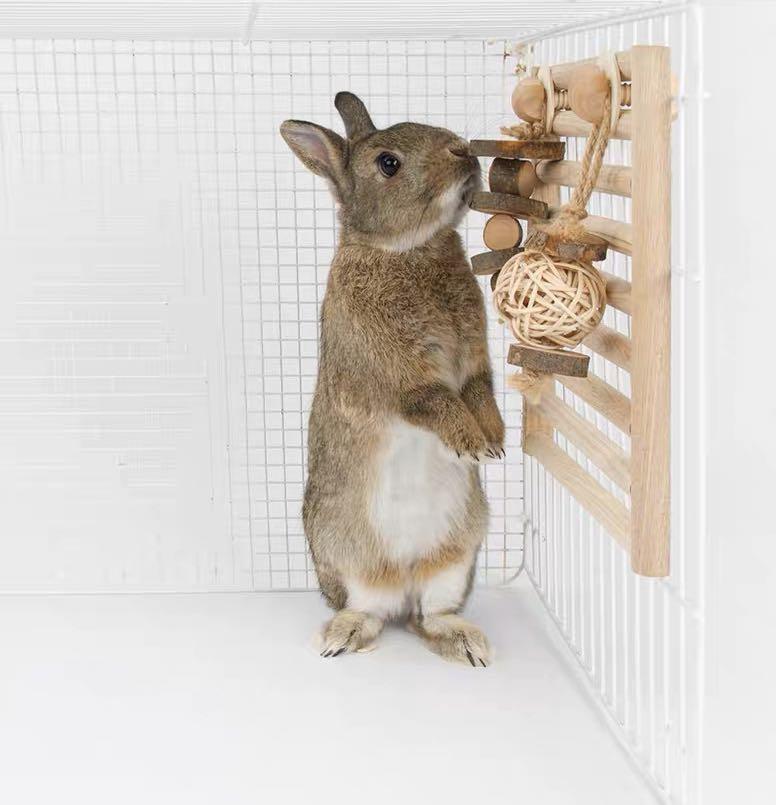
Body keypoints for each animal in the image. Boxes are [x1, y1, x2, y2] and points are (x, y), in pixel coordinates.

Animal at [282, 91, 506, 664]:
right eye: (388, 164)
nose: (463, 150)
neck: (407, 249)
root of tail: (403, 585)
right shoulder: (396, 374)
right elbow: (433, 400)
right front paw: (471, 443)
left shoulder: (476, 356)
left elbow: (480, 389)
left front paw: (494, 441)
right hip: (346, 561)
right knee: (370, 611)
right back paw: (340, 637)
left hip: (457, 559)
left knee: (432, 616)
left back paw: (467, 645)